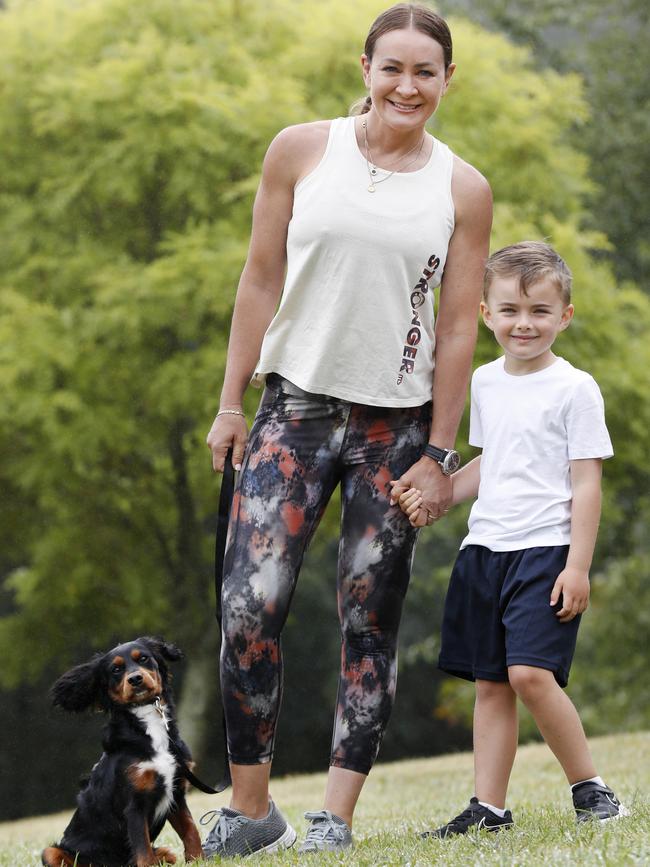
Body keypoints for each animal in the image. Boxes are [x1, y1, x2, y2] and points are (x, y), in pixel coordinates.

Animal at [41, 636, 202, 867]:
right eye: (116, 669)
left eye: (143, 658)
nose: (135, 679)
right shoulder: (134, 805)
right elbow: (143, 850)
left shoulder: (177, 792)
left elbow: (190, 829)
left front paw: (199, 859)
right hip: (51, 852)